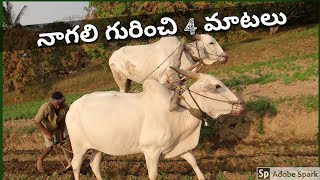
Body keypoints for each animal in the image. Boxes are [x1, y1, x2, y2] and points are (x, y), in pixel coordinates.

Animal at [66, 68, 244, 180]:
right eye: (217, 86)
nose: (241, 104)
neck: (179, 112)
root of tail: (72, 107)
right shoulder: (151, 151)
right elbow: (153, 175)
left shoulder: (178, 146)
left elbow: (193, 161)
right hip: (79, 147)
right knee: (75, 165)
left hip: (98, 147)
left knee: (94, 164)